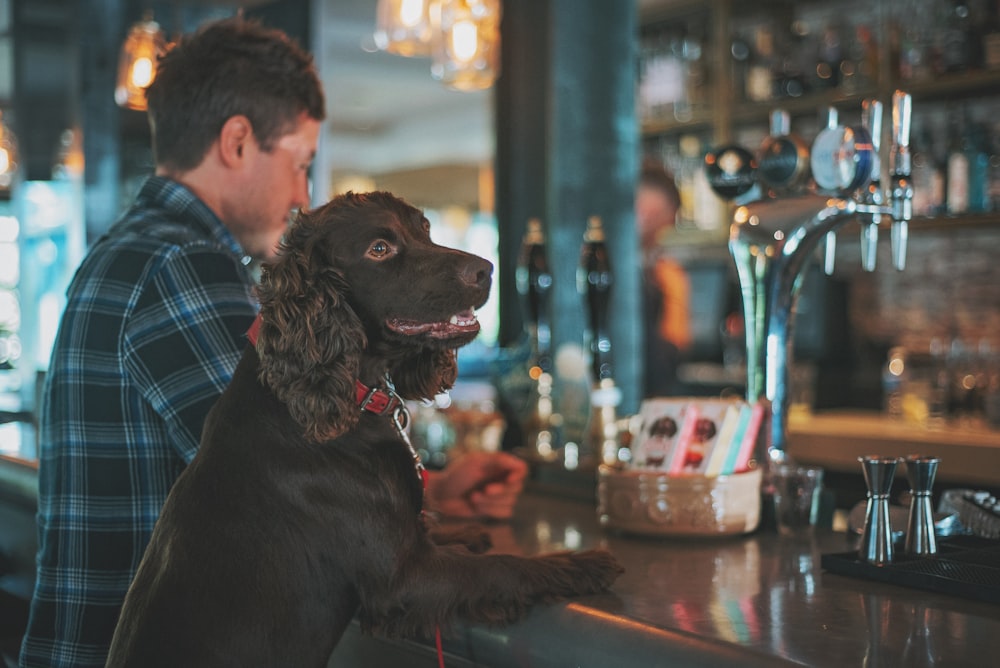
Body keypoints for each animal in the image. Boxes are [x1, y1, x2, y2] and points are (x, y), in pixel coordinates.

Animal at [109, 190, 624, 664]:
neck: (346, 393)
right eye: (380, 249)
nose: (486, 270)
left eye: (426, 230)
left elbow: (432, 531)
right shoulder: (401, 580)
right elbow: (504, 568)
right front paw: (579, 564)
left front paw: (464, 531)